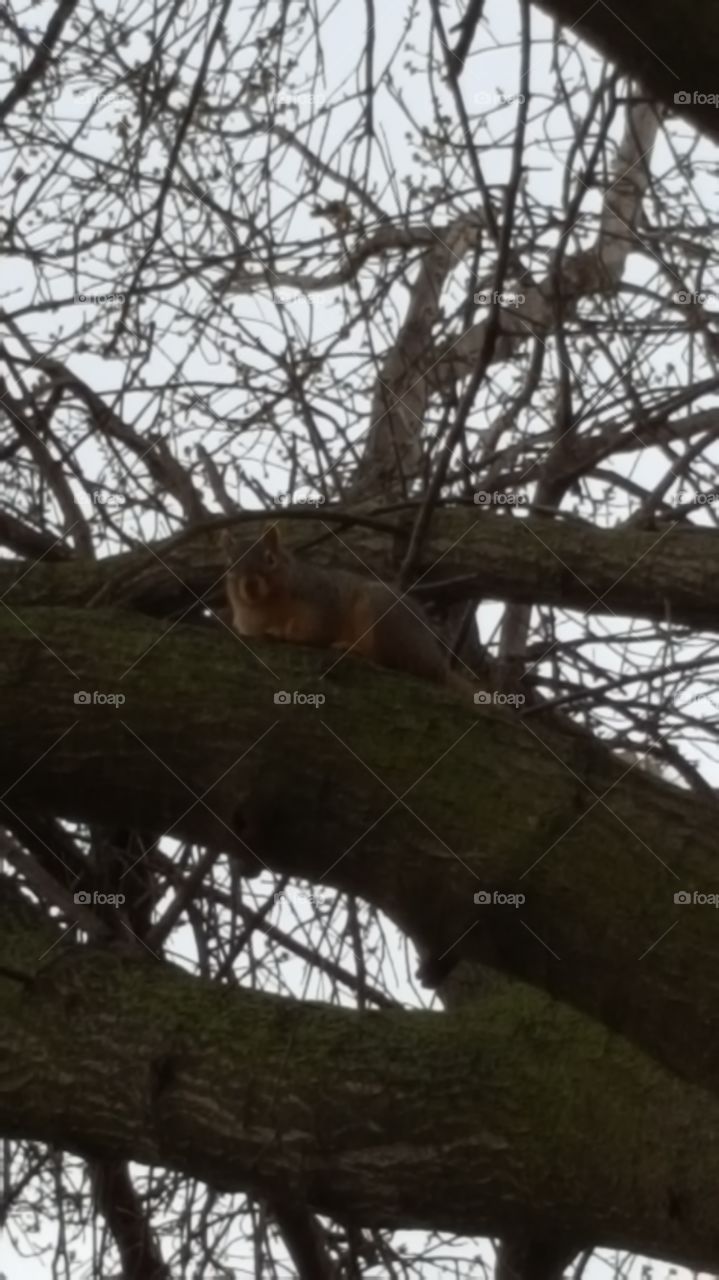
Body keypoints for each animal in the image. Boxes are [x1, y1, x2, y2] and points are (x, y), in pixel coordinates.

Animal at [222, 523, 468, 690]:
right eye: (230, 565)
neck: (267, 605)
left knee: (385, 658)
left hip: (380, 613)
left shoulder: (319, 603)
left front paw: (284, 631)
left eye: (270, 559)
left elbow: (313, 630)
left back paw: (350, 647)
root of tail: (434, 660)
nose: (250, 585)